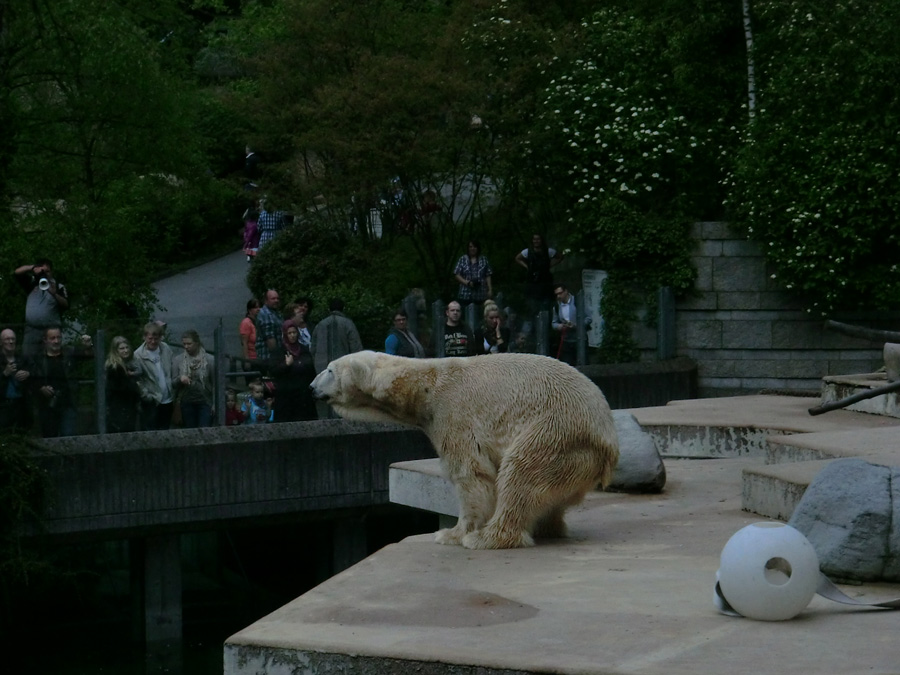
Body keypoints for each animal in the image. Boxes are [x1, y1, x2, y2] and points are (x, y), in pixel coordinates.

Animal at [312, 352, 620, 552]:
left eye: (329, 369)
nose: (311, 386)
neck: (424, 385)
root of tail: (607, 438)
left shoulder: (452, 413)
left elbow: (471, 474)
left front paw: (452, 533)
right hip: (575, 455)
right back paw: (547, 527)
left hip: (554, 432)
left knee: (521, 474)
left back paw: (488, 538)